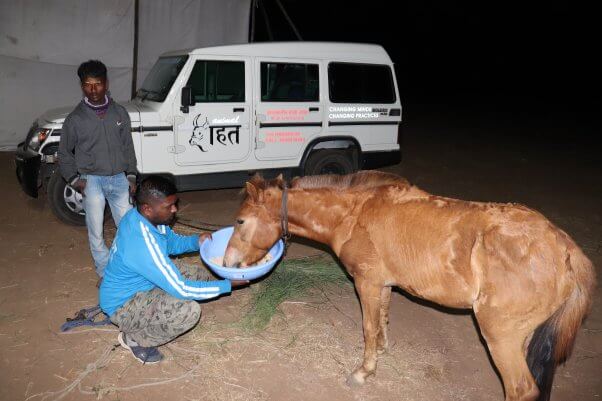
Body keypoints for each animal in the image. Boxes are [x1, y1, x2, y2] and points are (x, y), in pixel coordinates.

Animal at [223, 170, 592, 400]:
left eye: (240, 221)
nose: (228, 265)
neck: (354, 212)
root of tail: (565, 248)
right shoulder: (383, 284)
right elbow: (382, 319)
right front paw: (381, 352)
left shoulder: (367, 283)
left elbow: (368, 326)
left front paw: (364, 371)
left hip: (500, 337)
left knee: (521, 389)